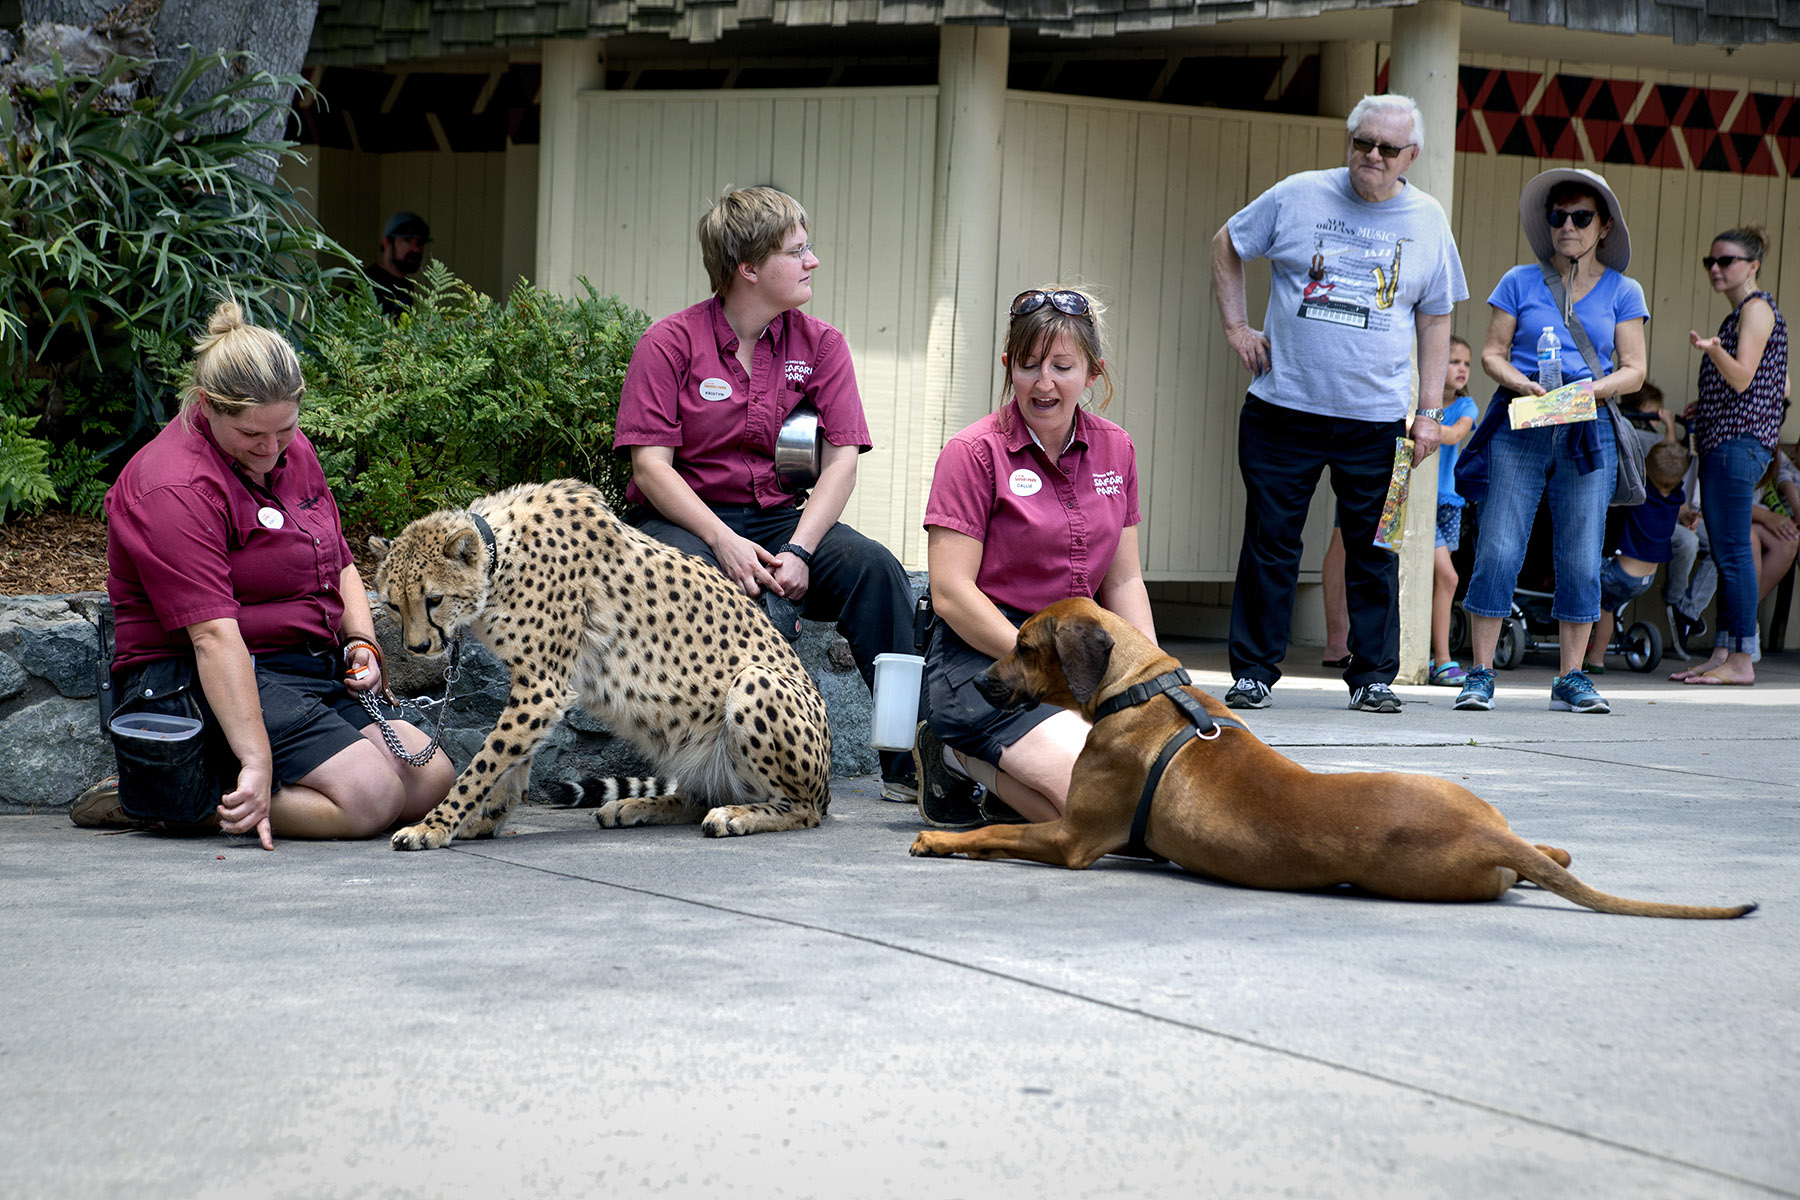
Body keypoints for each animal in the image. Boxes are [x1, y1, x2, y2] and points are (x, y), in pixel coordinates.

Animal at [376, 482, 838, 852]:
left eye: (433, 599)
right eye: (393, 605)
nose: (417, 647)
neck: (499, 555)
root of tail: (828, 786)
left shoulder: (542, 686)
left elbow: (485, 763)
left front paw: (435, 826)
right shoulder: (535, 688)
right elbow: (511, 758)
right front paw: (485, 819)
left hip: (755, 683)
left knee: (802, 810)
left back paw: (737, 816)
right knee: (698, 798)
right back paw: (635, 805)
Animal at [907, 597, 1749, 921]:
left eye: (1022, 646)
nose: (975, 683)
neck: (1140, 689)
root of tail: (1489, 835)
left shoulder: (1072, 838)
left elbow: (997, 831)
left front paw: (940, 838)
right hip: (1476, 802)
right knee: (1553, 849)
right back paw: (1549, 850)